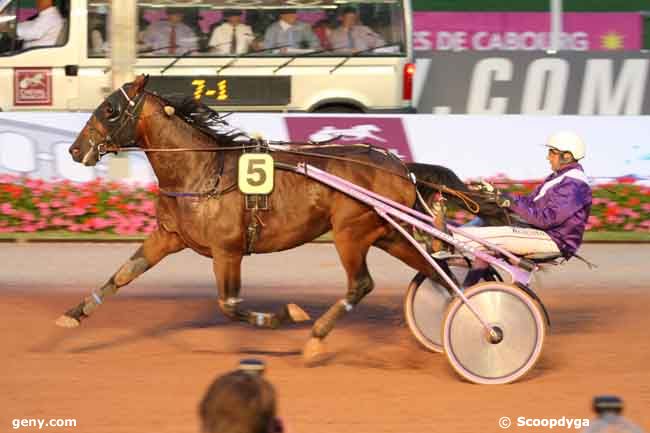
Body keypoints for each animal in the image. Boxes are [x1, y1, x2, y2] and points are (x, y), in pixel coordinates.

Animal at [58, 76, 504, 362]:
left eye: (110, 110)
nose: (75, 149)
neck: (201, 171)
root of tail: (399, 166)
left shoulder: (227, 251)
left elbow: (230, 305)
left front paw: (284, 316)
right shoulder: (169, 236)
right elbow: (122, 275)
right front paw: (73, 314)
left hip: (350, 231)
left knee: (362, 284)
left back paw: (318, 337)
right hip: (387, 233)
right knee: (433, 271)